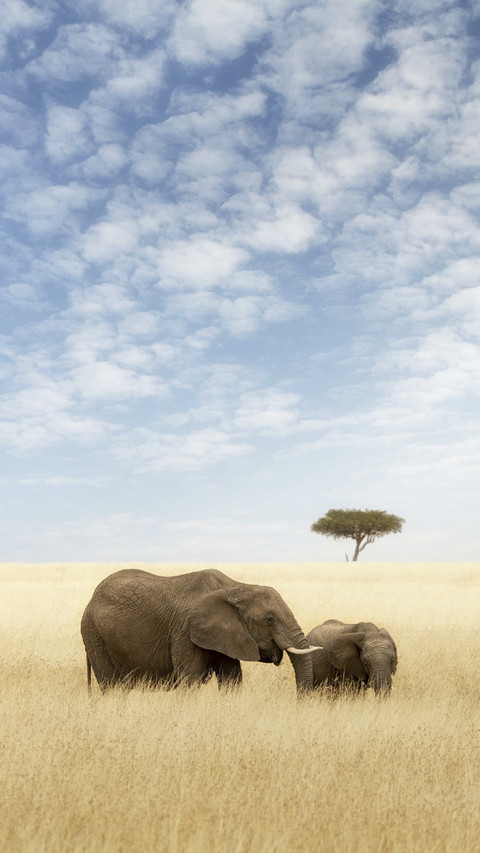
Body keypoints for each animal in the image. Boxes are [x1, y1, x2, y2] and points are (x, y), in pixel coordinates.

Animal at [81, 568, 319, 693]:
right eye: (269, 619)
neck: (235, 587)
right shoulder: (184, 631)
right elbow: (190, 679)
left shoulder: (228, 634)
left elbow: (231, 679)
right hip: (93, 634)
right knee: (111, 686)